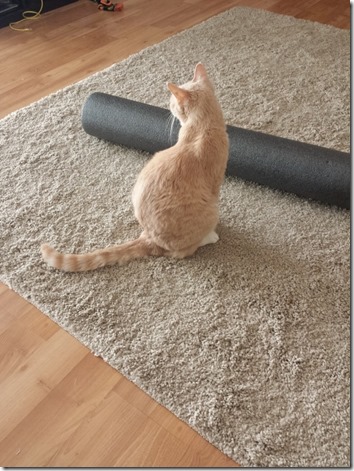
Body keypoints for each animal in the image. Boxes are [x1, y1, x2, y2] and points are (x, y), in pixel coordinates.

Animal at [40, 61, 230, 272]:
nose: (169, 108)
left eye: (172, 104)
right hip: (211, 211)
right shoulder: (215, 184)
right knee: (183, 252)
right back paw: (210, 236)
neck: (202, 128)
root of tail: (149, 239)